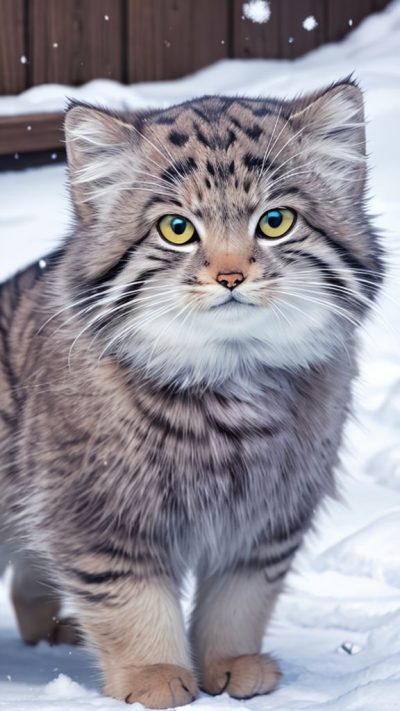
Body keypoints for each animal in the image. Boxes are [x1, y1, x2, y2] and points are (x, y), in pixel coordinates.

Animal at [0, 82, 382, 708]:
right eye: (177, 229)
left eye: (275, 221)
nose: (230, 276)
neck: (231, 378)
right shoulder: (101, 515)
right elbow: (131, 603)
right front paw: (153, 676)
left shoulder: (270, 518)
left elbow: (240, 601)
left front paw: (231, 664)